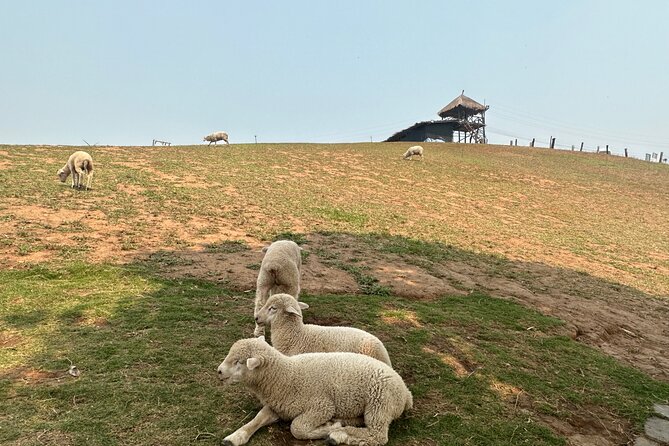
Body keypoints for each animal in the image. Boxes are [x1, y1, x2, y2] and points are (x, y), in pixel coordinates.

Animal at [217, 338, 412, 446]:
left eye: (239, 362)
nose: (219, 371)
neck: (286, 376)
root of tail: (406, 392)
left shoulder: (322, 407)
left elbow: (297, 428)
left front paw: (329, 427)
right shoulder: (279, 407)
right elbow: (257, 419)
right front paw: (235, 437)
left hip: (380, 404)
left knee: (378, 436)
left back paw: (338, 435)